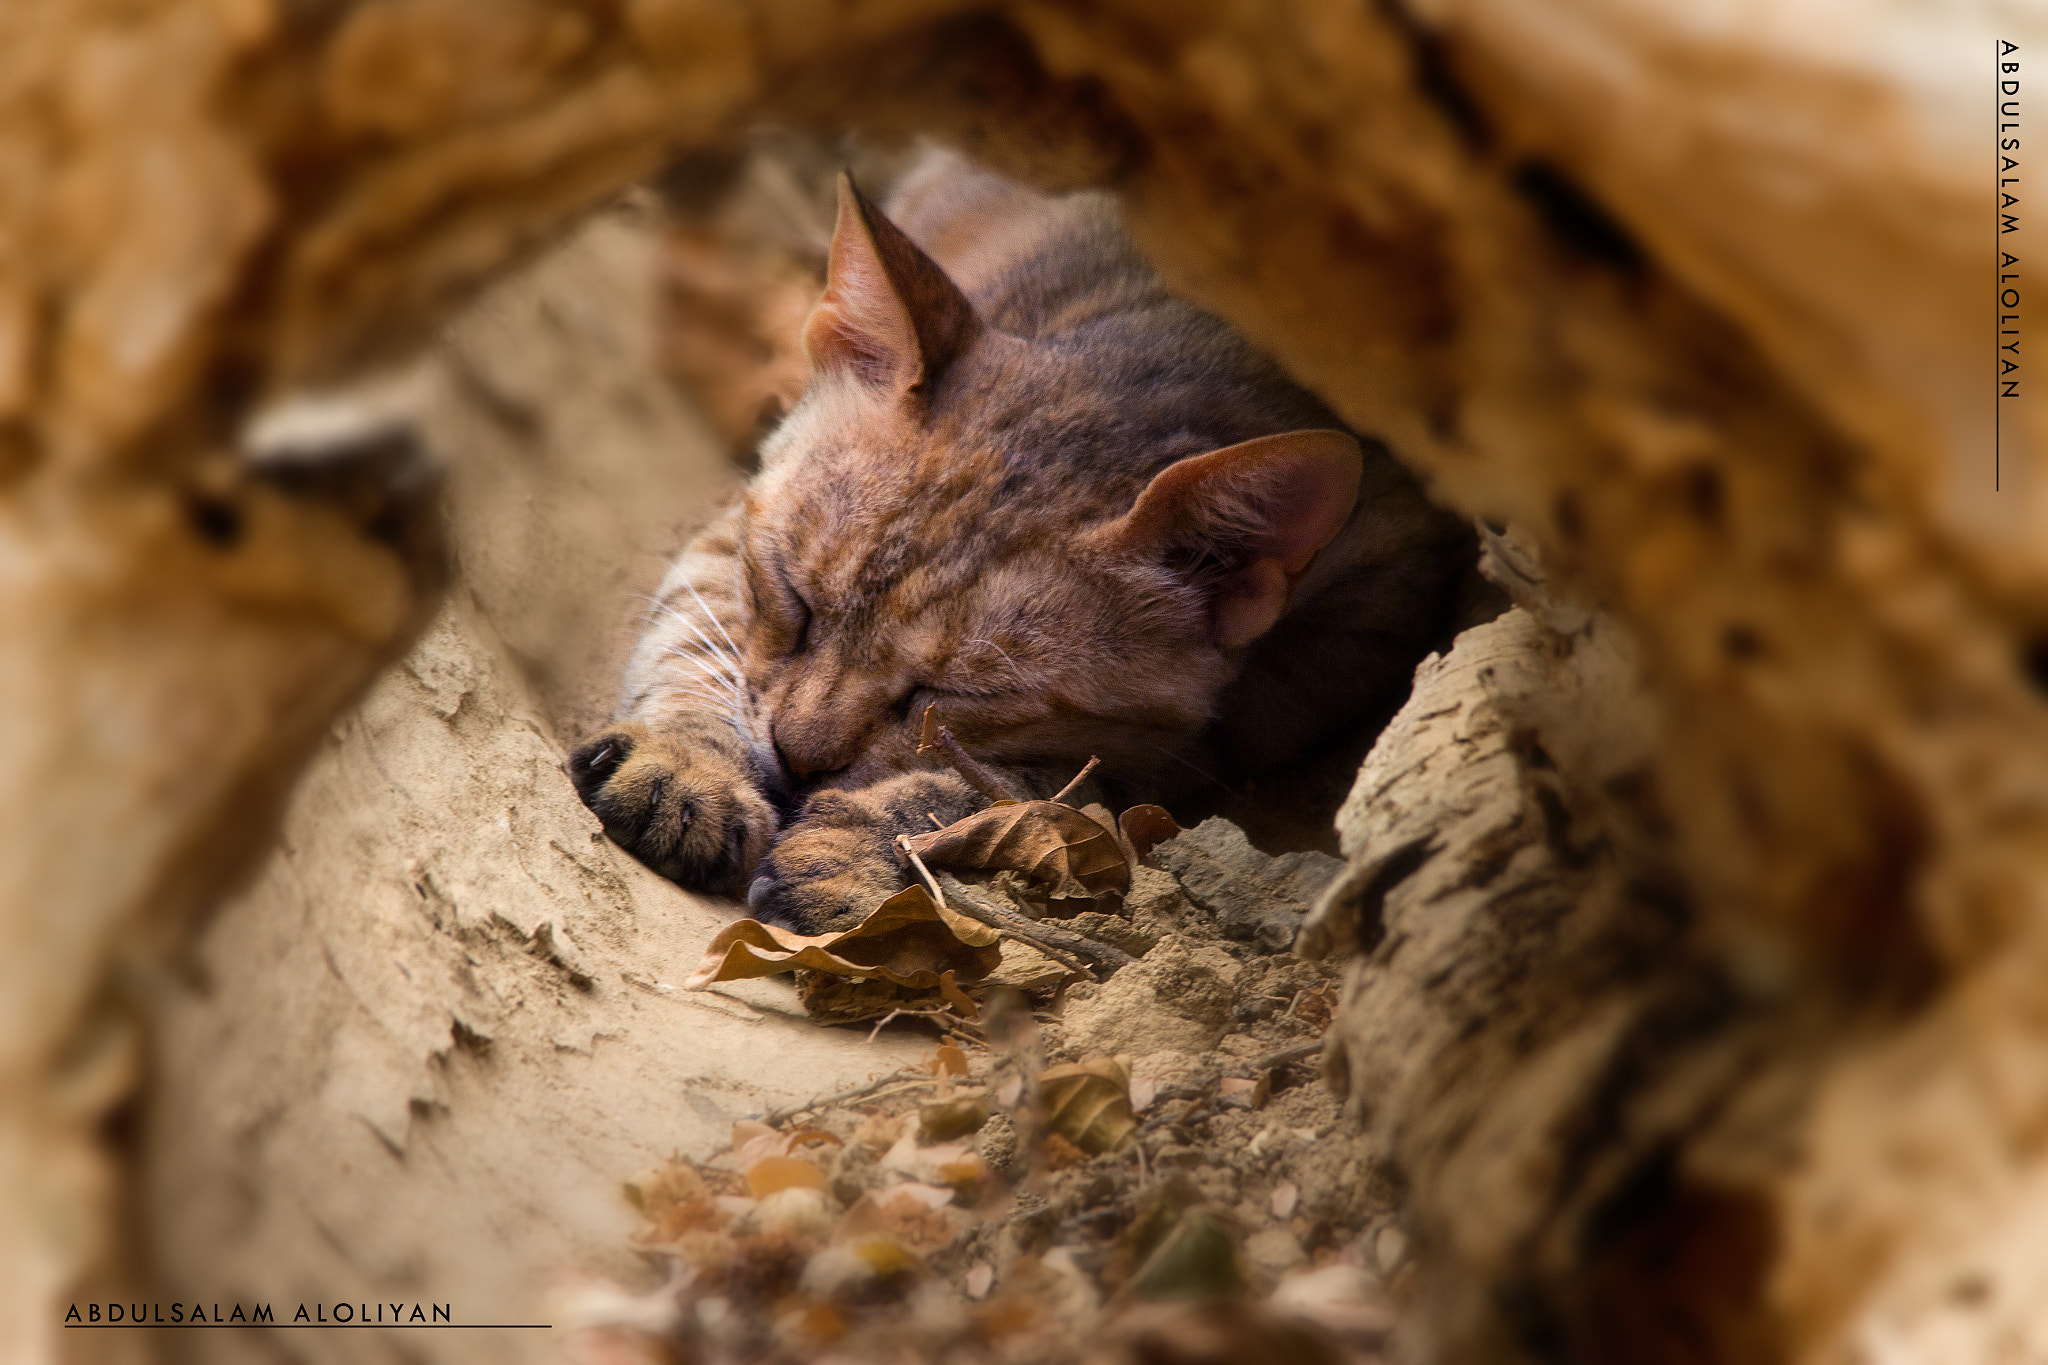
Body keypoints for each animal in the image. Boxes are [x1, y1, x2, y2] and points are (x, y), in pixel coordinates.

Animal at [573, 152, 1474, 941]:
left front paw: (853, 844)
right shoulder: (733, 525)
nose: (794, 759)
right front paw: (690, 766)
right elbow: (695, 636)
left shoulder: (1346, 636)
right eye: (796, 601)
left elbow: (1027, 779)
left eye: (949, 697)